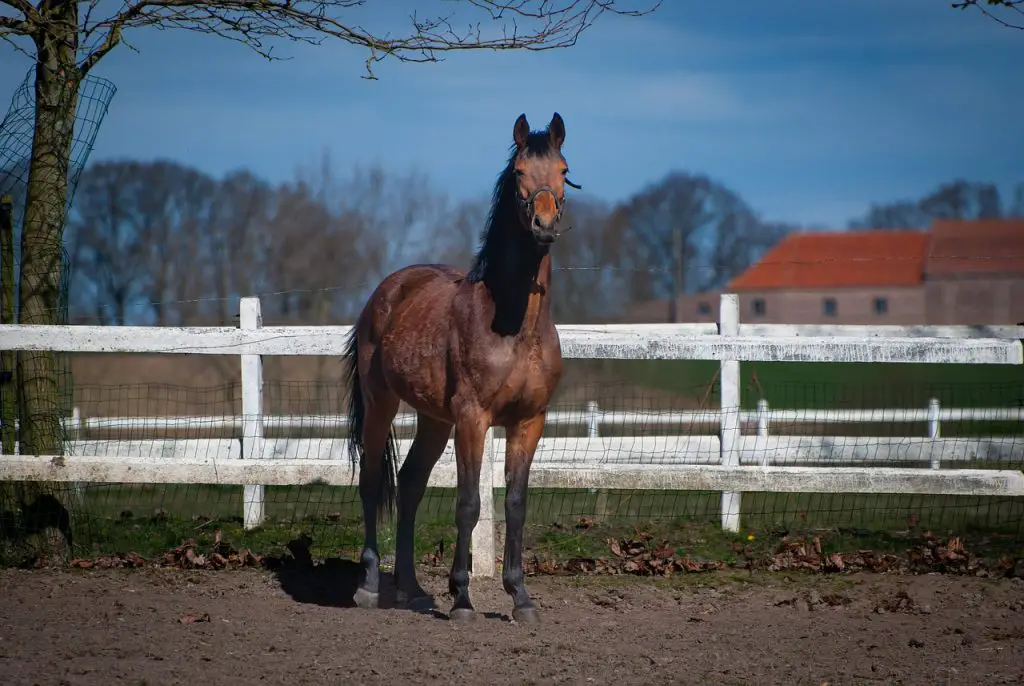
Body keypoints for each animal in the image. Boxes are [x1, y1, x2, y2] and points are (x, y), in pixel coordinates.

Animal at [339, 111, 573, 622]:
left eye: (564, 170)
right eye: (519, 172)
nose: (545, 224)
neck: (514, 325)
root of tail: (384, 294)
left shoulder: (529, 421)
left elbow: (516, 504)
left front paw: (520, 597)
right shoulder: (473, 418)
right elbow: (469, 504)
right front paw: (463, 598)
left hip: (433, 419)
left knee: (410, 485)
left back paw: (411, 590)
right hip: (382, 403)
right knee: (372, 482)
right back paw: (370, 585)